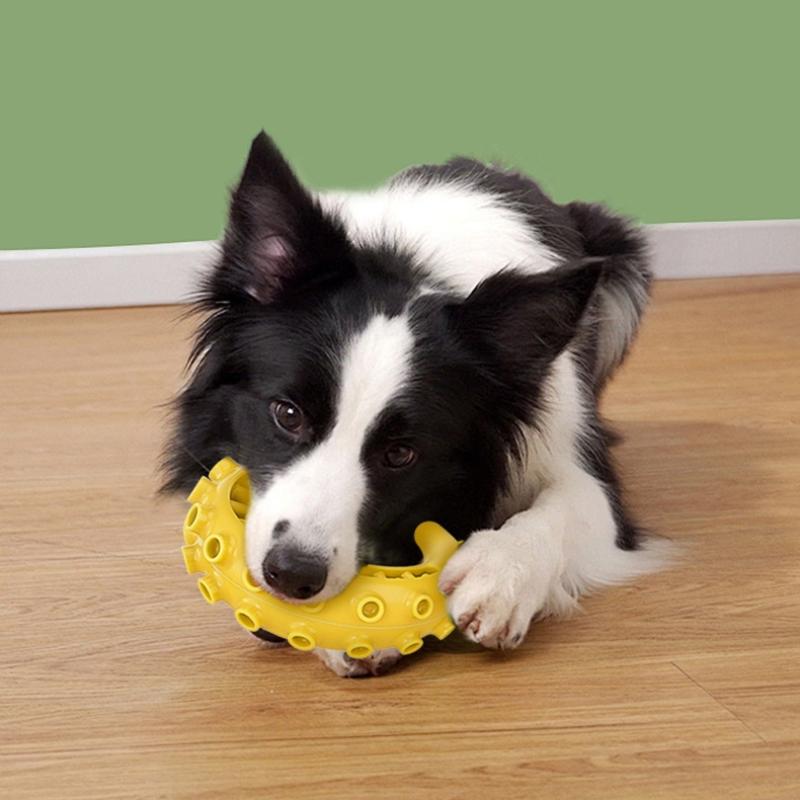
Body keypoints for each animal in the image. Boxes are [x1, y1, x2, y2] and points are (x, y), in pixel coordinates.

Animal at [163, 132, 667, 677]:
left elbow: (565, 506)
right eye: (287, 414)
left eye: (401, 453)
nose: (293, 575)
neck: (410, 271)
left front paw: (498, 577)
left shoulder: (576, 456)